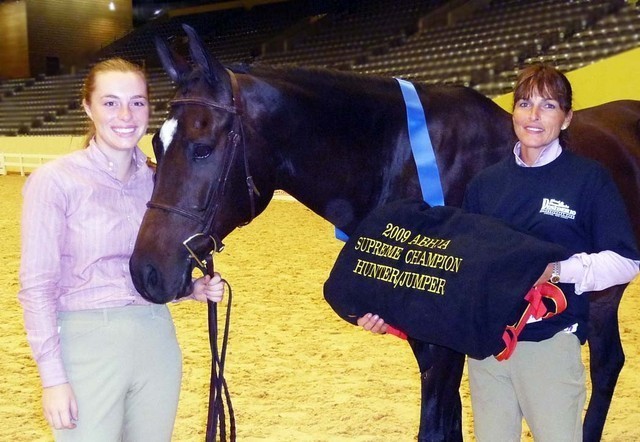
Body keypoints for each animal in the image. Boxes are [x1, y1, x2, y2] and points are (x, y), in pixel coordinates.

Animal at [130, 25, 640, 442]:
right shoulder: (425, 339)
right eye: (155, 143)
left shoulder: (446, 345)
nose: (145, 272)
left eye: (202, 148)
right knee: (609, 362)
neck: (404, 159)